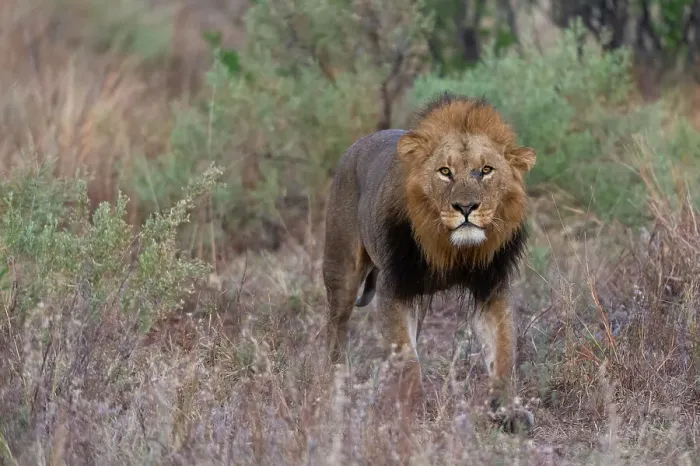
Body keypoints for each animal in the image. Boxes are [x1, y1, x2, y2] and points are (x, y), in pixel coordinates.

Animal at [322, 92, 536, 432]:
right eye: (445, 172)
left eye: (486, 170)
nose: (466, 207)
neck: (452, 248)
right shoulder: (394, 287)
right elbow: (407, 357)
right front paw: (412, 412)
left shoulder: (491, 287)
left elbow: (503, 352)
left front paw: (507, 412)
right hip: (340, 270)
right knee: (336, 329)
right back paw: (336, 386)